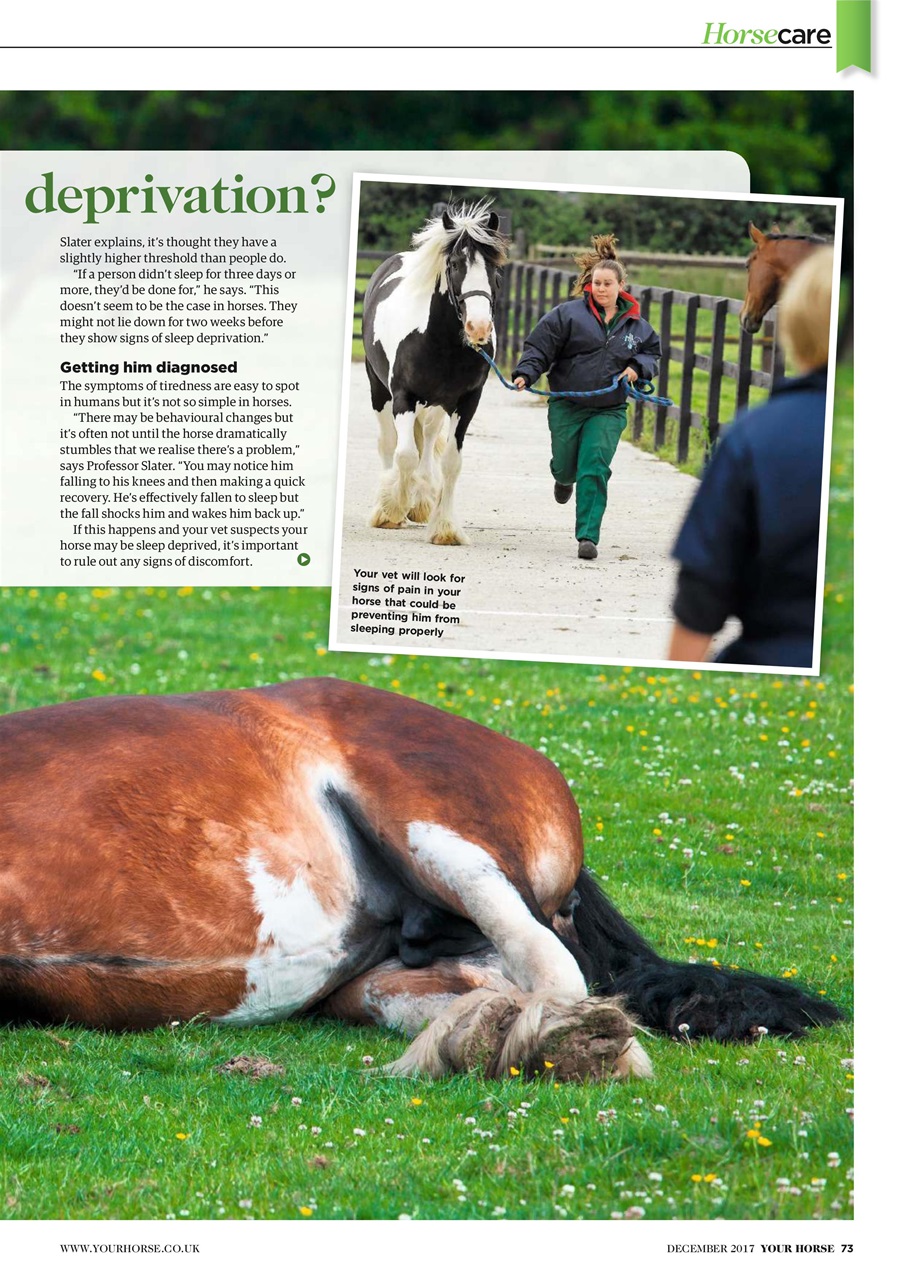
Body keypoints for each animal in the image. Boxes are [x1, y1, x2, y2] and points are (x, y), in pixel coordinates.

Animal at [362, 201, 508, 546]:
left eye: (495, 269)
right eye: (454, 265)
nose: (478, 328)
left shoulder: (466, 401)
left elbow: (451, 462)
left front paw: (445, 528)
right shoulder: (403, 396)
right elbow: (404, 454)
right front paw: (391, 510)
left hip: (439, 404)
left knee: (427, 438)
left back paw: (420, 501)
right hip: (379, 390)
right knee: (389, 443)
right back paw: (390, 503)